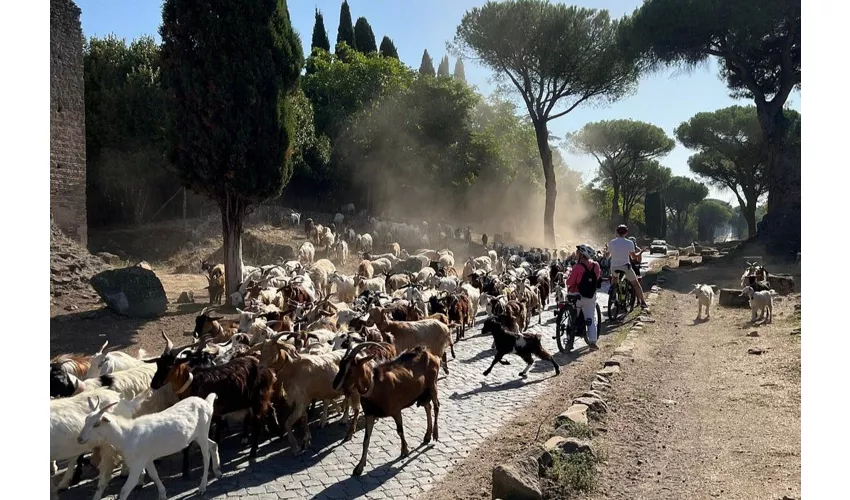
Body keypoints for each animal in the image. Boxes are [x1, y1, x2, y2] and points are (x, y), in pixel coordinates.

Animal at [332, 342, 440, 474]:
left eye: (350, 370)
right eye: (340, 365)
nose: (335, 385)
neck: (374, 386)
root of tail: (429, 354)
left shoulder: (396, 410)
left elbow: (400, 431)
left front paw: (405, 450)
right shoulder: (370, 414)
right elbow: (366, 439)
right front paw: (359, 467)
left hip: (432, 386)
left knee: (436, 406)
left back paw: (435, 435)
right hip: (422, 393)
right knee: (428, 407)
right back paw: (427, 436)